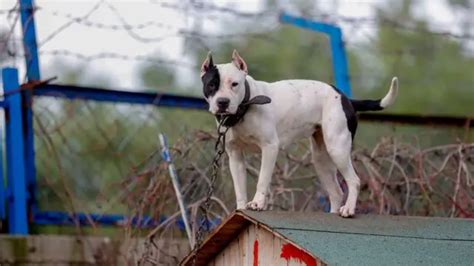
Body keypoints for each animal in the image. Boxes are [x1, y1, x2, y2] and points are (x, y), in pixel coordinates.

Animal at [198, 50, 398, 218]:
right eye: (211, 85)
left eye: (235, 84)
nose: (223, 102)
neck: (245, 107)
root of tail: (344, 97)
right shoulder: (235, 156)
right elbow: (239, 188)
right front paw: (240, 209)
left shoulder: (270, 148)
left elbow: (262, 179)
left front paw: (257, 203)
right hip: (321, 159)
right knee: (336, 192)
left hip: (338, 149)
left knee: (354, 180)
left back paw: (348, 209)